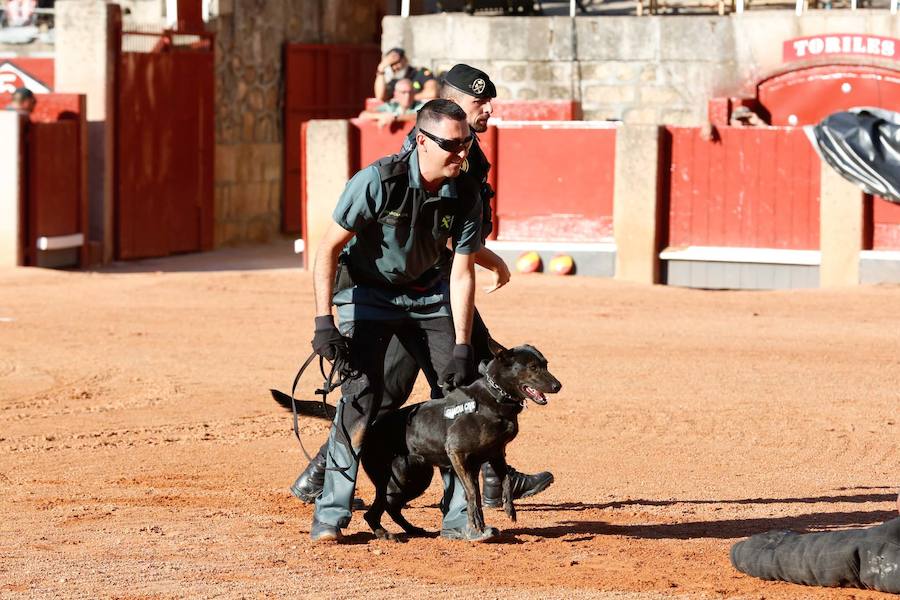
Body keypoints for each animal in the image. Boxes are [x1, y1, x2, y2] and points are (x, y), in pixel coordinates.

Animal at [270, 340, 560, 540]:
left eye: (545, 364)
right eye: (533, 367)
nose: (558, 386)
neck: (495, 398)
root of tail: (373, 425)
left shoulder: (497, 453)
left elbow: (507, 480)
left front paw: (510, 509)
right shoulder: (458, 456)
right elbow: (472, 493)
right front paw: (477, 524)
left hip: (413, 478)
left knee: (390, 507)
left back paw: (411, 529)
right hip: (393, 477)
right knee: (375, 510)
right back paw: (385, 535)